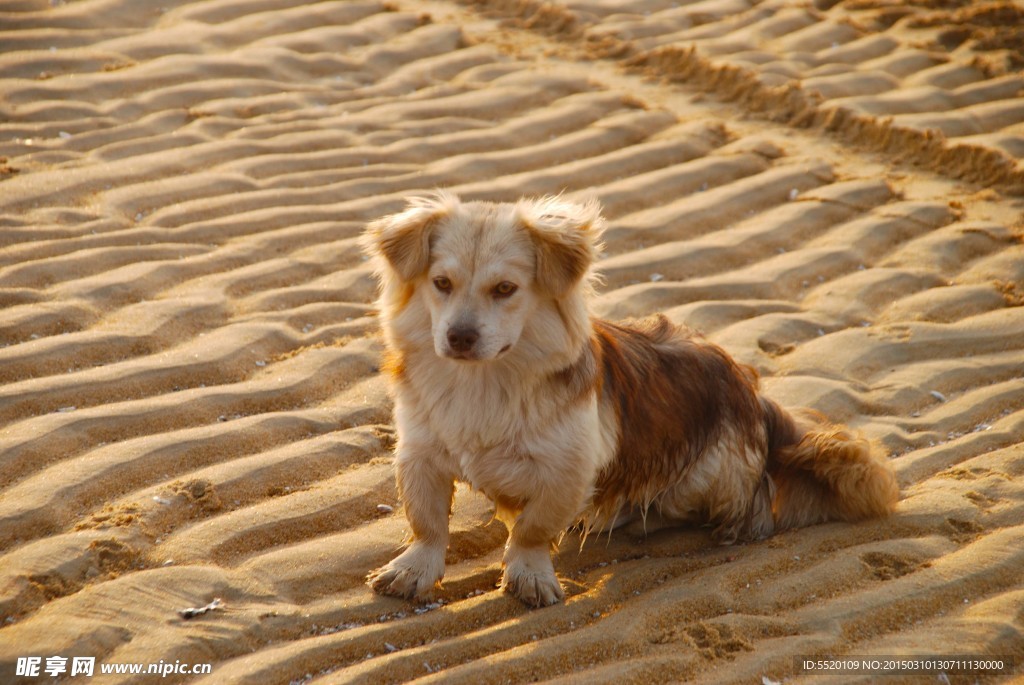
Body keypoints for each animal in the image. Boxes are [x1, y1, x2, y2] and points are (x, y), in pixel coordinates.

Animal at [360, 189, 897, 606]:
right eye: (441, 284)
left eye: (505, 289)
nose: (459, 336)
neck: (483, 383)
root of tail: (752, 392)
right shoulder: (420, 453)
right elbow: (427, 522)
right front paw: (414, 570)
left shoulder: (568, 471)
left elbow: (533, 527)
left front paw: (528, 574)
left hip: (705, 479)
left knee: (751, 503)